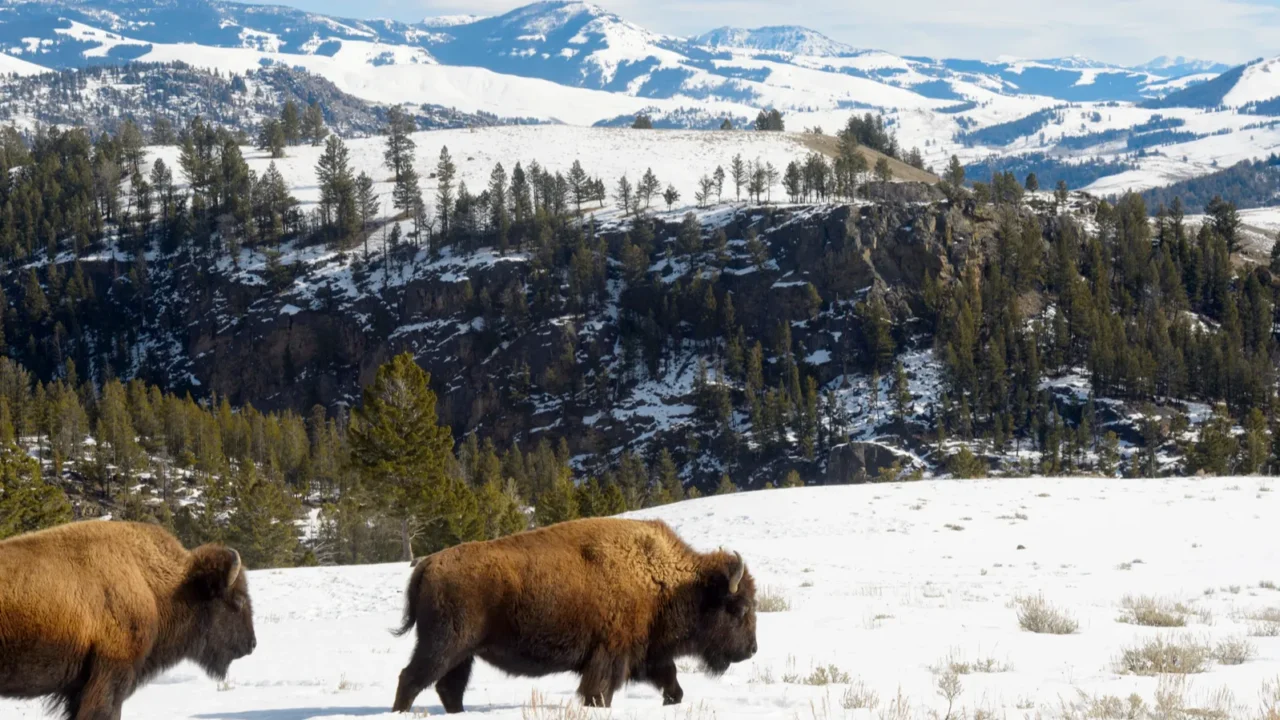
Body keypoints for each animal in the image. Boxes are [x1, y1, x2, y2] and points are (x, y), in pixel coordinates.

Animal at [390, 516, 758, 713]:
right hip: (444, 645)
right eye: (738, 608)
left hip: (463, 654)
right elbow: (600, 692)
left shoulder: (648, 654)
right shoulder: (611, 656)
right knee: (411, 678)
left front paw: (673, 702)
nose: (752, 649)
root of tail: (428, 563)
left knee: (448, 688)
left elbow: (671, 683)